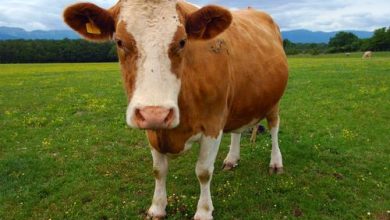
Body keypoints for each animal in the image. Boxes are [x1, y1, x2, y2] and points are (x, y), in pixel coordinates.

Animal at [64, 1, 288, 218]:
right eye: (119, 41)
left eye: (182, 41)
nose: (156, 114)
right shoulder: (152, 130)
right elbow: (158, 170)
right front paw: (157, 208)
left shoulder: (213, 124)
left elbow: (203, 171)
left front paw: (203, 212)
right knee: (237, 131)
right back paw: (232, 159)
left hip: (274, 101)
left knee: (274, 128)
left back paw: (276, 163)